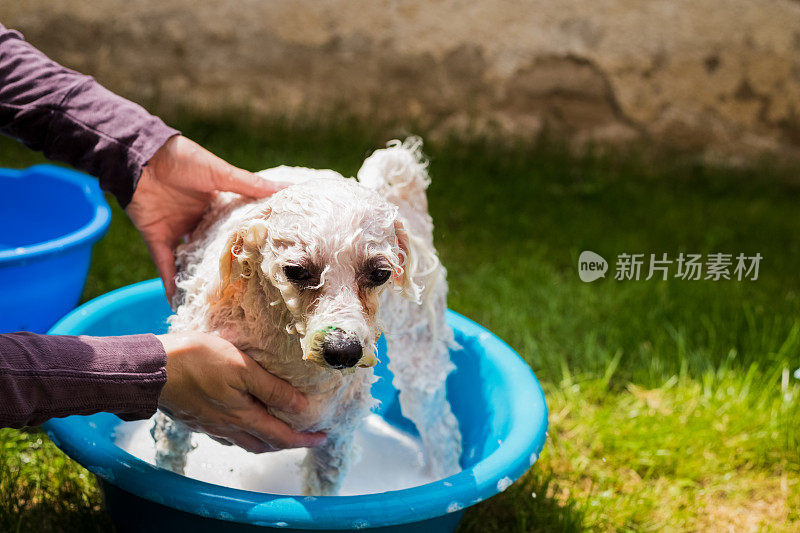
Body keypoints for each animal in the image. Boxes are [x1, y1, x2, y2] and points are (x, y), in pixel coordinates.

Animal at [152, 138, 462, 494]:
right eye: (297, 271)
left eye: (380, 274)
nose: (343, 351)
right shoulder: (179, 414)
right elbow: (168, 467)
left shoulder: (335, 439)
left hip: (420, 354)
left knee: (442, 428)